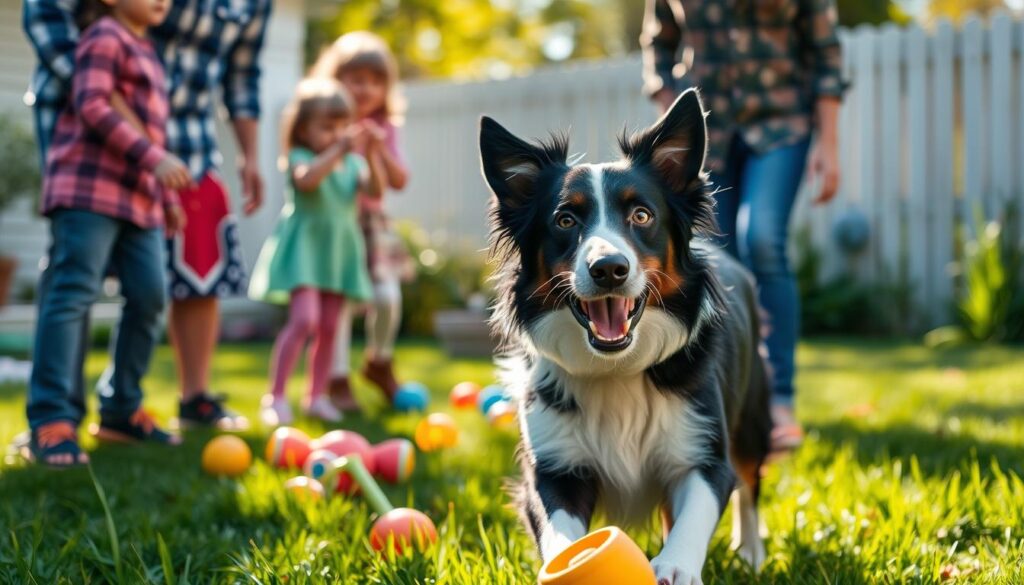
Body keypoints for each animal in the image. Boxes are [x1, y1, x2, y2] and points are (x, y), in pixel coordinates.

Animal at [479, 89, 774, 581]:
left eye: (641, 215)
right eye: (564, 220)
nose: (609, 269)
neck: (615, 367)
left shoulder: (704, 449)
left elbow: (698, 511)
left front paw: (675, 567)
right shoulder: (553, 466)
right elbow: (559, 528)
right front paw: (571, 562)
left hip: (752, 416)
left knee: (750, 484)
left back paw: (750, 551)